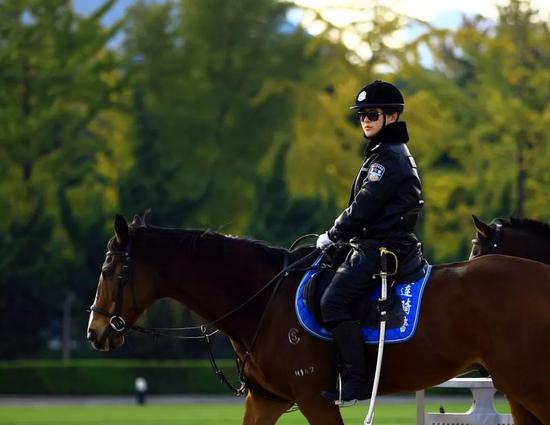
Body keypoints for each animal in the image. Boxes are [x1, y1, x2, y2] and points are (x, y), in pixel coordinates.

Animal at [86, 215, 550, 424]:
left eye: (108, 270)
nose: (94, 331)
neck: (263, 299)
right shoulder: (266, 400)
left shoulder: (314, 398)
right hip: (516, 388)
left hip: (528, 385)